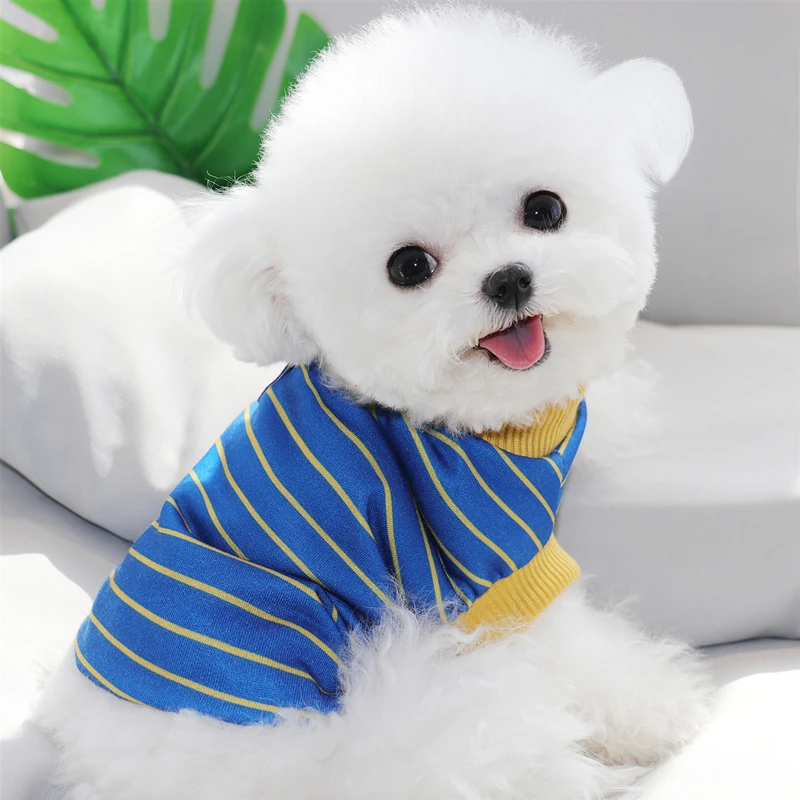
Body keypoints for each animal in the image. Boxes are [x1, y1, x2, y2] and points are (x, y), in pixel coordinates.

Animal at [36, 6, 711, 799]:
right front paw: (654, 707)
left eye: (545, 209)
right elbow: (574, 643)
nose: (508, 279)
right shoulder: (490, 563)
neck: (472, 424)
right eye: (409, 267)